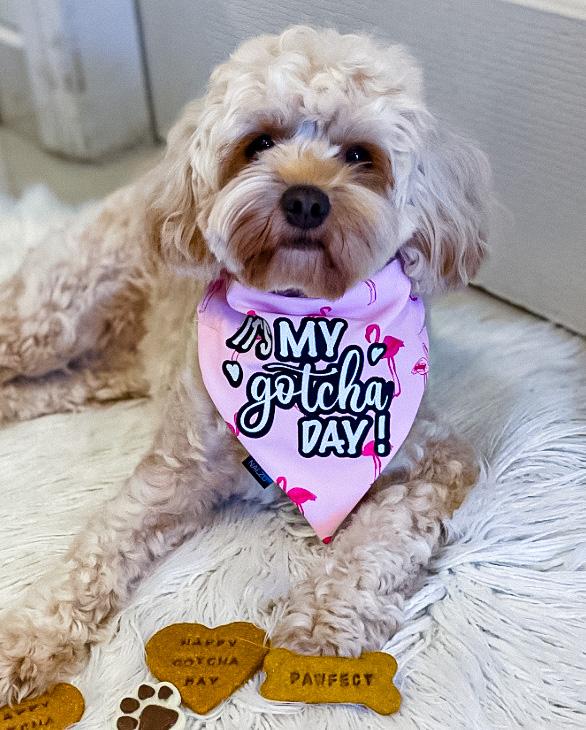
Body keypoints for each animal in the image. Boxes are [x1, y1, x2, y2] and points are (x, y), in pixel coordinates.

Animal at [0, 25, 488, 704]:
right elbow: (102, 545)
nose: (306, 201)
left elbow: (383, 539)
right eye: (259, 143)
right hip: (51, 316)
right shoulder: (176, 471)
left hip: (104, 368)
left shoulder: (433, 460)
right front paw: (29, 637)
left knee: (51, 388)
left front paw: (324, 619)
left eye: (360, 155)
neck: (303, 331)